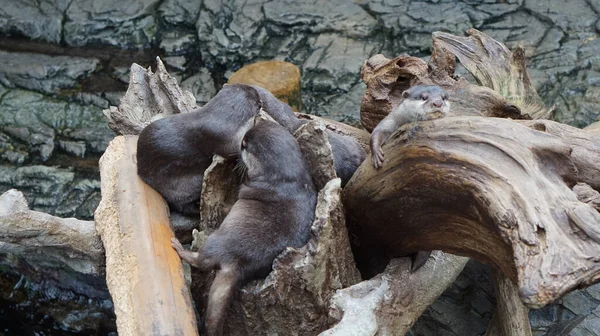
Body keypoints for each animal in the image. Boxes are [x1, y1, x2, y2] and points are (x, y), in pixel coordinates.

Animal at [170, 121, 316, 336]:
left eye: (245, 144)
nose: (238, 144)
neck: (285, 178)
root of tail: (236, 264)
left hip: (216, 241)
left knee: (201, 260)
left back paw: (179, 248)